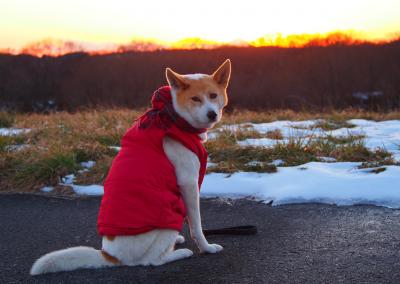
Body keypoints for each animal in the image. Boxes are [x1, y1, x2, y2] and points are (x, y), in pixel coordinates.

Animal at [30, 58, 231, 274]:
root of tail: (110, 255)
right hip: (169, 218)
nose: (212, 114)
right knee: (152, 260)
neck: (174, 118)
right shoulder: (188, 184)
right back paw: (180, 253)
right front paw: (206, 248)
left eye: (213, 95)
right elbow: (196, 225)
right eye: (195, 99)